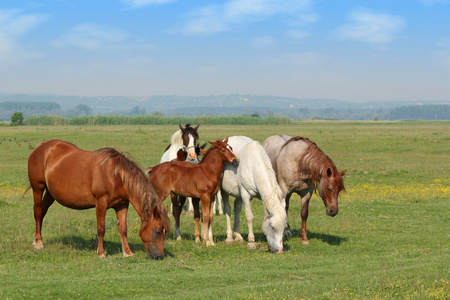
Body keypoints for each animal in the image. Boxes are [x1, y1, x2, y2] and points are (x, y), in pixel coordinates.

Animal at [26, 139, 171, 258]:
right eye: (158, 231)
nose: (159, 256)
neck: (117, 175)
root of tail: (40, 147)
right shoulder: (101, 202)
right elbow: (101, 229)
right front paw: (101, 253)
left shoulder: (122, 205)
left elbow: (123, 229)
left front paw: (127, 252)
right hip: (38, 188)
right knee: (38, 211)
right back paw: (38, 243)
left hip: (50, 194)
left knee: (42, 212)